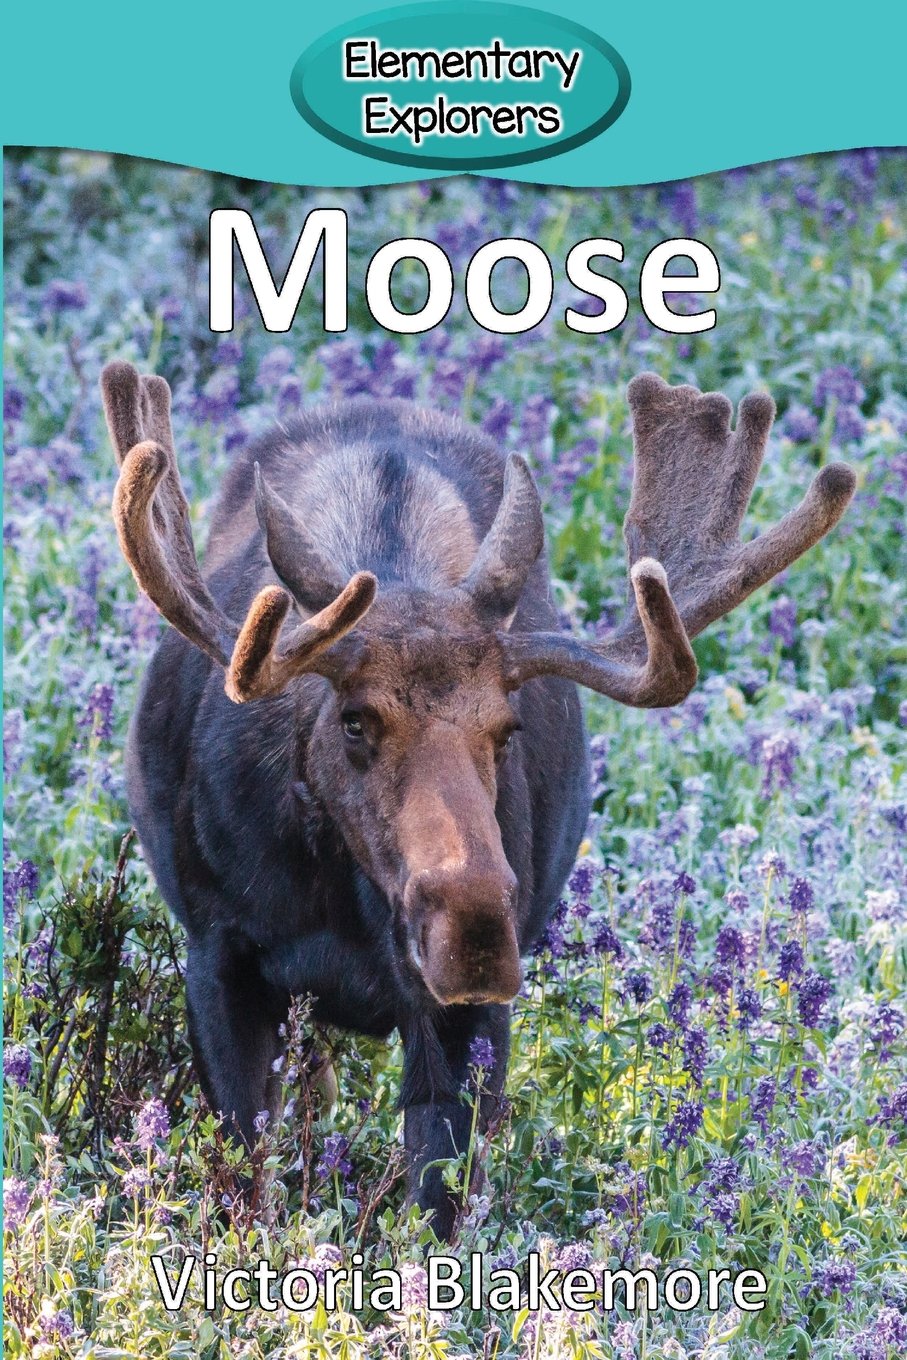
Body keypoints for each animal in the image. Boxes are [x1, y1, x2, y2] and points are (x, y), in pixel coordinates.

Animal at [100, 360, 855, 1238]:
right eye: (355, 720)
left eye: (506, 726)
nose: (475, 930)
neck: (340, 902)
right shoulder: (219, 955)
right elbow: (243, 1172)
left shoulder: (465, 1018)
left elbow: (439, 1205)